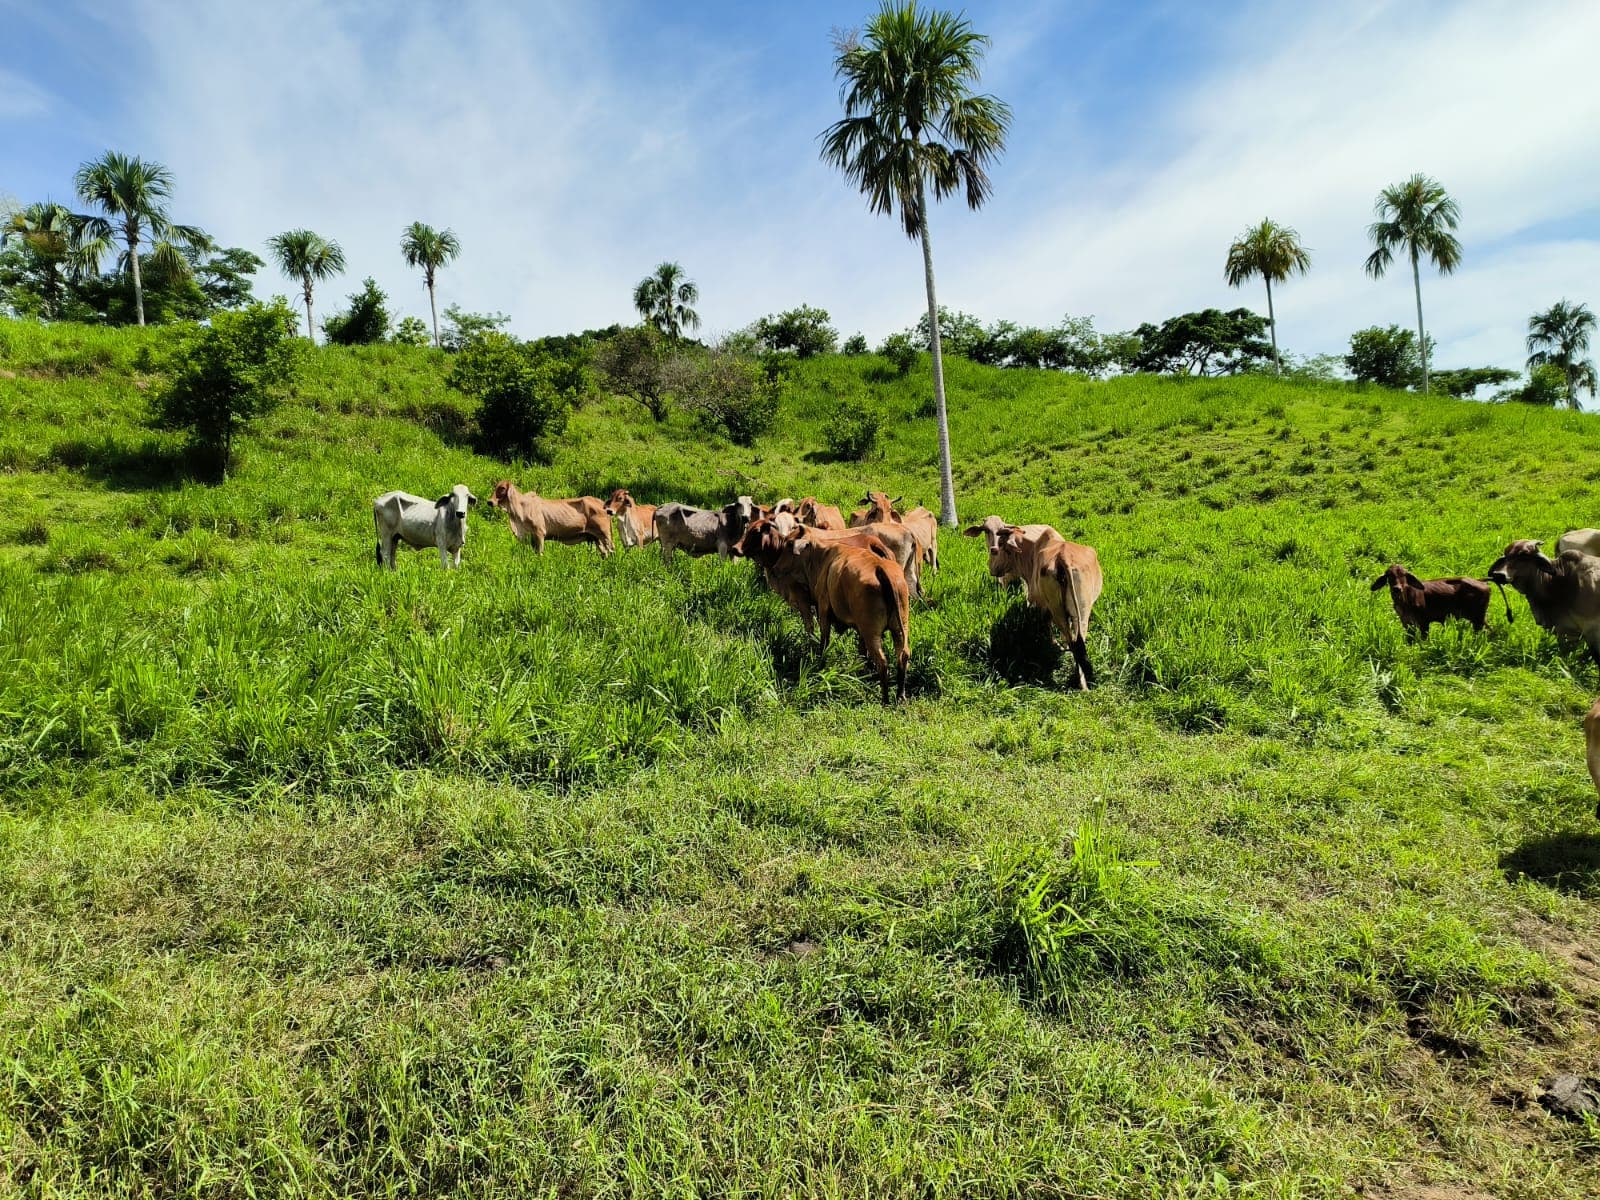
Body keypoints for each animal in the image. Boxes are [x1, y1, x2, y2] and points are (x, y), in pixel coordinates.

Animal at [787, 531, 915, 710]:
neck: (822, 554)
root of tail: (880, 568)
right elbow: (861, 651)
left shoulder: (824, 611)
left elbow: (824, 643)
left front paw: (820, 666)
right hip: (900, 626)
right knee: (903, 655)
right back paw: (900, 696)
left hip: (871, 632)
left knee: (882, 662)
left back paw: (885, 700)